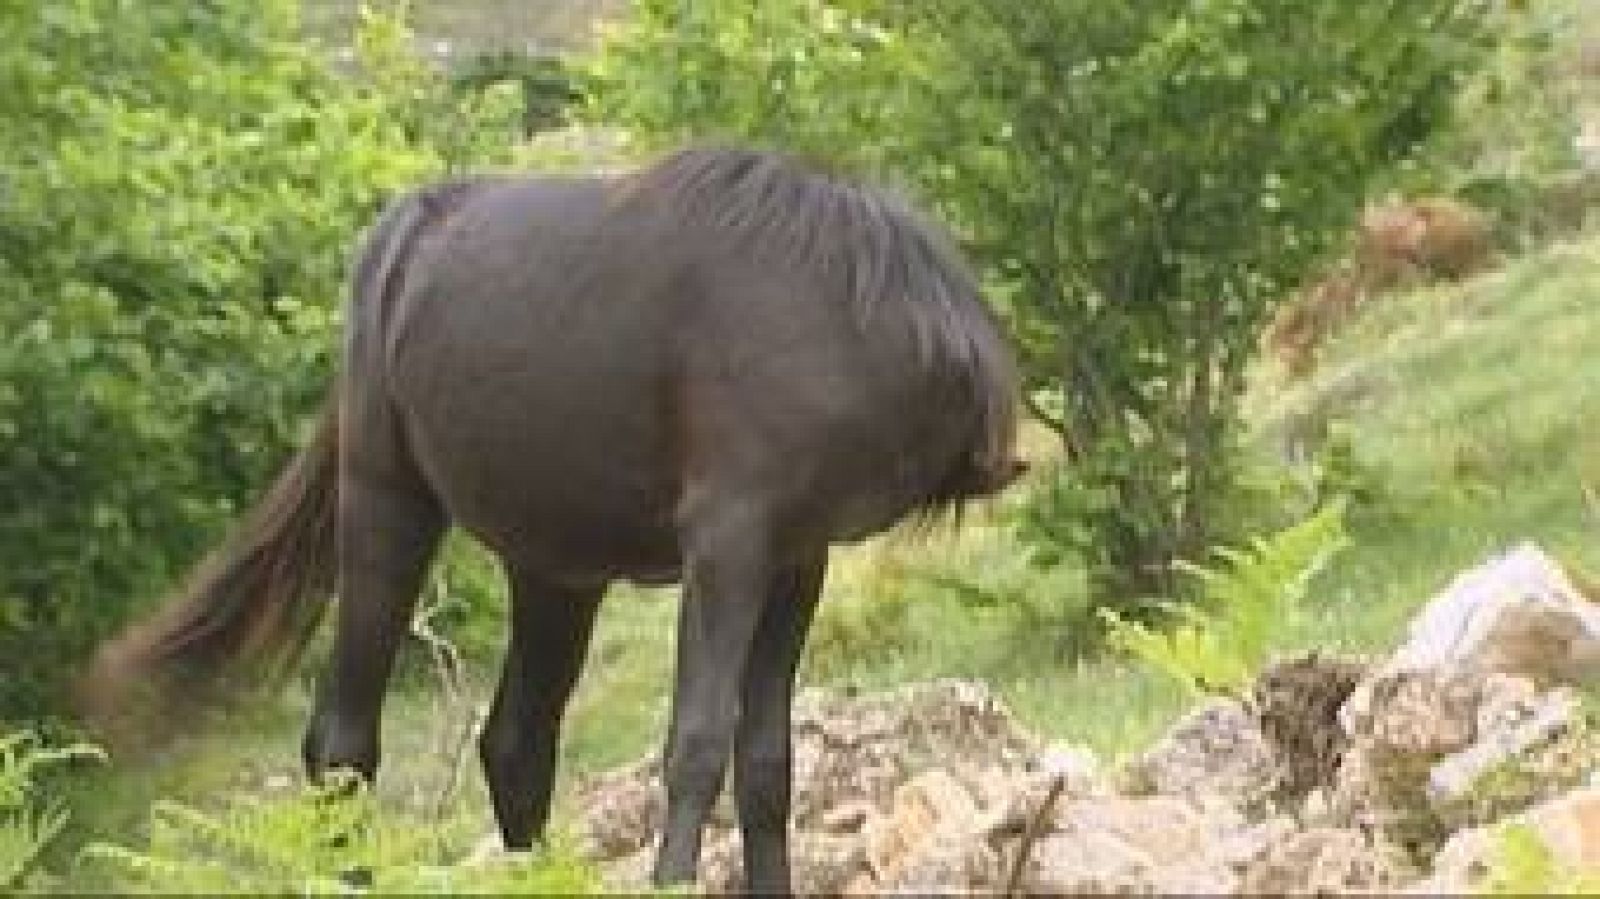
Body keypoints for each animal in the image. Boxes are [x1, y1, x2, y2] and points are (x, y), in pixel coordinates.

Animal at [81, 146, 1024, 893]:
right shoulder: (728, 545)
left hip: (556, 572)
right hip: (388, 510)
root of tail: (395, 243)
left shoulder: (798, 557)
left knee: (515, 745)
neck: (848, 317)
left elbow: (766, 762)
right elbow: (697, 743)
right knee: (343, 742)